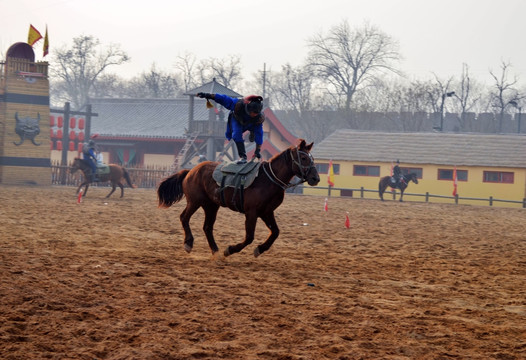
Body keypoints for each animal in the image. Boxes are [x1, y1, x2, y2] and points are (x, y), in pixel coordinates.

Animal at [158, 139, 322, 258]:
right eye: (303, 158)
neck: (268, 180)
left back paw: (215, 250)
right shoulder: (252, 212)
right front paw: (230, 249)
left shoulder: (267, 212)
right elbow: (249, 237)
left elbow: (275, 232)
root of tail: (191, 171)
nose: (316, 178)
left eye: (312, 158)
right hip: (195, 201)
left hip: (211, 205)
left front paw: (260, 249)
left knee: (207, 227)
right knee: (184, 217)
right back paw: (189, 243)